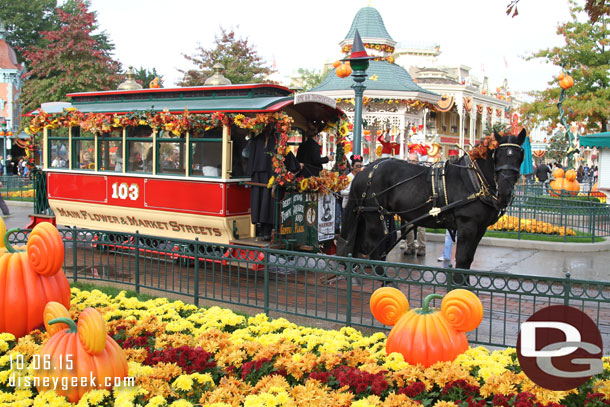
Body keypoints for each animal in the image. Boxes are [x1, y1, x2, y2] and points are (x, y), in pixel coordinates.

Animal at [334, 131, 524, 280]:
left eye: (519, 157)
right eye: (497, 155)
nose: (505, 190)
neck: (474, 179)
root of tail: (365, 170)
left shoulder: (480, 228)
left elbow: (468, 259)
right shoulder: (467, 225)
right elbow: (462, 258)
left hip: (368, 216)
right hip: (374, 216)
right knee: (373, 250)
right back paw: (387, 283)